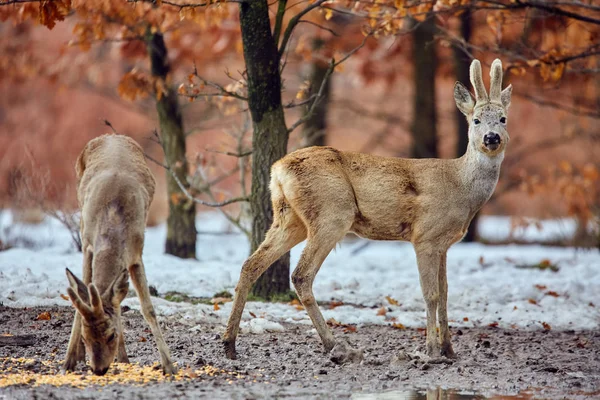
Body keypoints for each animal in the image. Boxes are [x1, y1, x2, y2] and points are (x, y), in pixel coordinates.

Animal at [63, 134, 176, 376]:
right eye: (85, 337)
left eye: (111, 335)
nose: (98, 369)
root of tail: (111, 135)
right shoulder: (87, 245)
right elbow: (80, 303)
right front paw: (69, 361)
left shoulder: (136, 254)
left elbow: (148, 309)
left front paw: (169, 365)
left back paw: (123, 357)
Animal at [223, 58, 512, 362]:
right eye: (476, 120)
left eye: (503, 118)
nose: (492, 138)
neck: (460, 186)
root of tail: (277, 170)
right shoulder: (425, 236)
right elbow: (430, 294)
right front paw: (432, 350)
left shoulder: (444, 244)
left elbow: (445, 293)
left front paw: (449, 350)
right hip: (332, 214)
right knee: (301, 274)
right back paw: (335, 345)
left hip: (289, 218)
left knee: (251, 264)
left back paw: (230, 344)